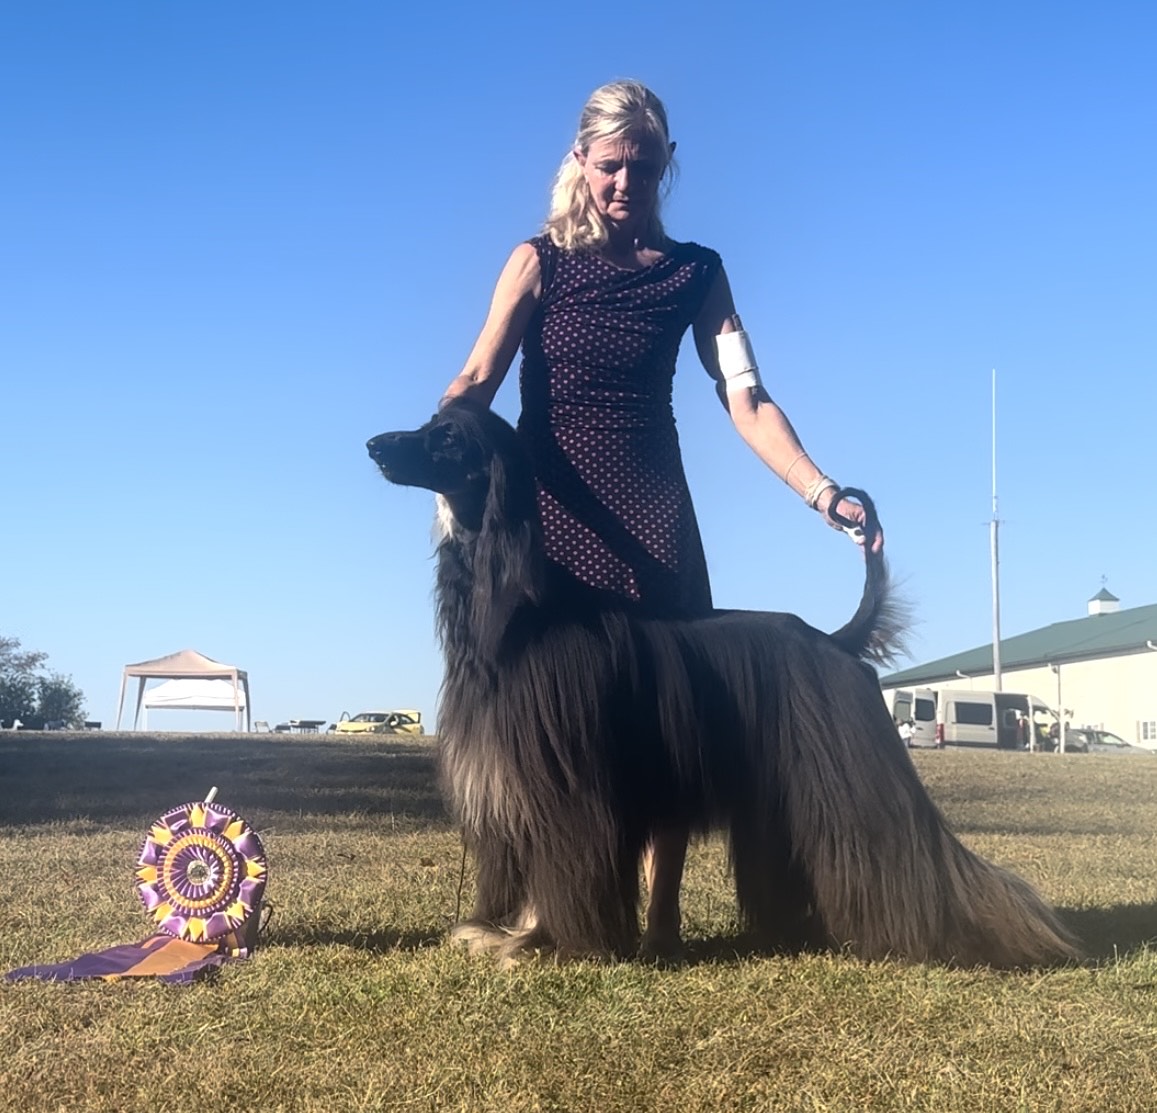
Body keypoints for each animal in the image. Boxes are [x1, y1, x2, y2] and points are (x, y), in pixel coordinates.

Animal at [367, 398, 1079, 967]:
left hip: (855, 776)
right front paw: (505, 933)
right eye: (430, 424)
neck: (517, 613)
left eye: (448, 438)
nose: (375, 446)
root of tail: (835, 640)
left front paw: (545, 944)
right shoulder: (511, 779)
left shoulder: (568, 788)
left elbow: (565, 867)